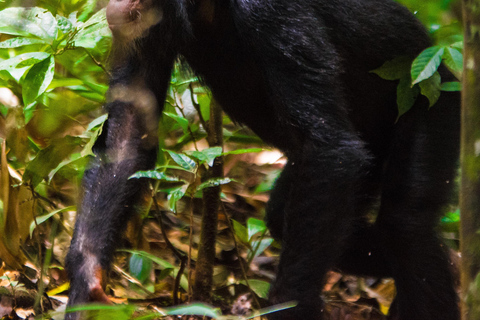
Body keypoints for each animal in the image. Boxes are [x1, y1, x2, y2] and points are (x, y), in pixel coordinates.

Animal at [65, 0, 460, 320]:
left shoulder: (271, 12)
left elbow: (327, 145)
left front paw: (291, 307)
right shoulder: (147, 33)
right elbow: (128, 136)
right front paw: (87, 282)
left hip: (438, 101)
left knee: (405, 226)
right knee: (288, 217)